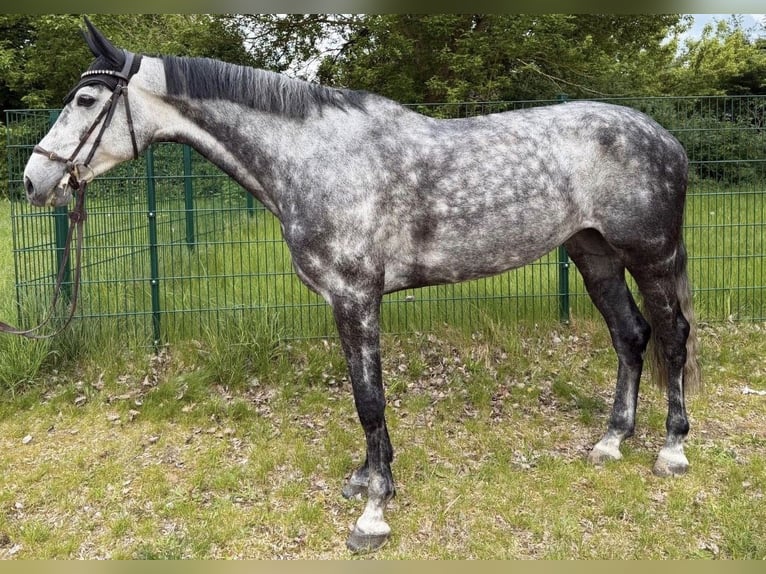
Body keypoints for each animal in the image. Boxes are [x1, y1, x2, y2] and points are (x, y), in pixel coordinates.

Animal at [22, 18, 700, 553]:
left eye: (86, 99)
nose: (33, 180)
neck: (316, 157)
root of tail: (666, 138)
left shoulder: (356, 297)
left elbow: (370, 401)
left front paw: (373, 515)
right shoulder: (341, 301)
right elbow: (361, 398)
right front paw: (368, 479)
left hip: (652, 257)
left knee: (672, 336)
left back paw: (671, 449)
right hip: (595, 257)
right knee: (630, 336)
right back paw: (611, 441)